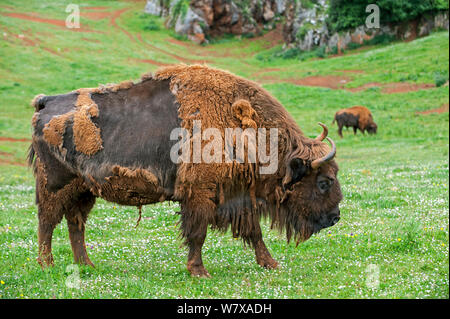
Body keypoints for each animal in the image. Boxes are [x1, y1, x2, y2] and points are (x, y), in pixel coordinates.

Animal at [28, 65, 342, 278]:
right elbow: (197, 233)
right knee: (48, 221)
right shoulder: (200, 195)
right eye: (324, 181)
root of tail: (45, 102)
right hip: (55, 185)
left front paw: (270, 263)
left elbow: (254, 231)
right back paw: (47, 264)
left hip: (84, 190)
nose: (335, 217)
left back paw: (86, 264)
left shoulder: (238, 195)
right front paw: (198, 271)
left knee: (75, 223)